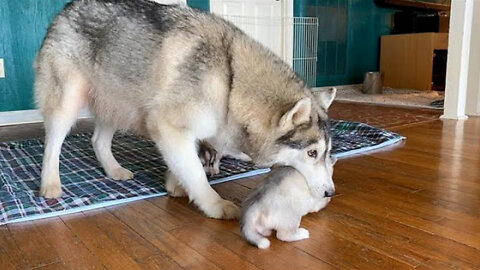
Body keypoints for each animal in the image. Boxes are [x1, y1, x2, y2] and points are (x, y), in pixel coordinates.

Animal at [34, 0, 334, 219]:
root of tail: (67, 7)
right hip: (68, 102)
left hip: (117, 103)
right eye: (312, 153)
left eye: (327, 153)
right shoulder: (168, 127)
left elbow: (188, 164)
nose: (330, 193)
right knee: (53, 143)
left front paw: (176, 183)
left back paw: (114, 170)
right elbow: (197, 174)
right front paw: (214, 204)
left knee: (98, 140)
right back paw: (50, 184)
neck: (231, 82)